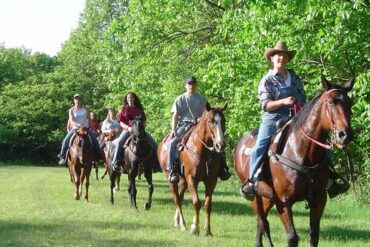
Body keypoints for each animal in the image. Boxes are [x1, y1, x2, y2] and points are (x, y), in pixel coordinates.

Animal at [158, 102, 228, 235]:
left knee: (180, 198)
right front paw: (195, 228)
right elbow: (196, 203)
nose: (220, 145)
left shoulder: (211, 181)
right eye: (211, 121)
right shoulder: (191, 179)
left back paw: (178, 222)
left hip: (183, 181)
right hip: (171, 178)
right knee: (177, 199)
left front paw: (207, 230)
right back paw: (183, 224)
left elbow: (208, 205)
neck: (202, 151)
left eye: (224, 120)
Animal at [234, 75, 356, 247]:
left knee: (262, 221)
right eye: (331, 101)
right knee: (261, 220)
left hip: (267, 195)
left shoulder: (319, 200)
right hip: (255, 195)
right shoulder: (283, 201)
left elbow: (314, 236)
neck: (303, 154)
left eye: (350, 102)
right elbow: (292, 237)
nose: (345, 135)